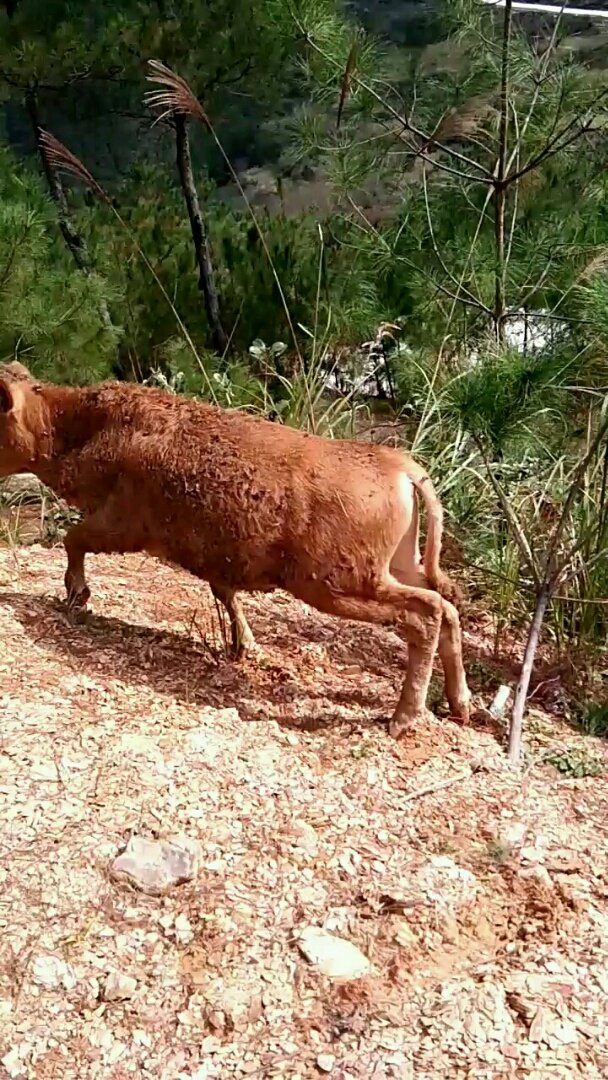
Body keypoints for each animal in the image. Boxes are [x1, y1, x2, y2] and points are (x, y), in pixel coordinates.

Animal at [0, 364, 470, 737]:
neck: (86, 428)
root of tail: (402, 467)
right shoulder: (217, 556)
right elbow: (225, 594)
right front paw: (246, 646)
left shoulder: (122, 524)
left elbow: (73, 538)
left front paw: (76, 594)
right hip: (397, 568)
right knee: (446, 608)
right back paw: (460, 704)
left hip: (340, 583)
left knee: (425, 614)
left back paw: (404, 719)